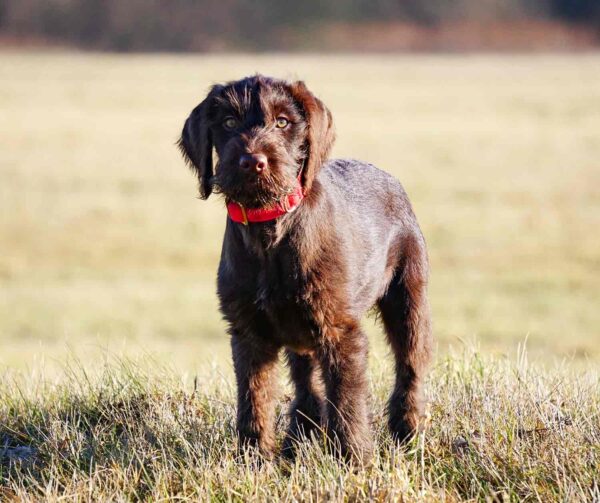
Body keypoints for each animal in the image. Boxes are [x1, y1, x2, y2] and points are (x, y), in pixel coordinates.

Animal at [178, 75, 432, 464]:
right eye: (229, 122)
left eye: (283, 122)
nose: (253, 161)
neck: (271, 229)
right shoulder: (248, 332)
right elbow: (254, 399)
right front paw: (254, 457)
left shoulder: (339, 330)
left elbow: (347, 400)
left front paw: (355, 460)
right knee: (306, 381)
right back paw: (301, 435)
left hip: (407, 300)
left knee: (410, 366)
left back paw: (407, 431)